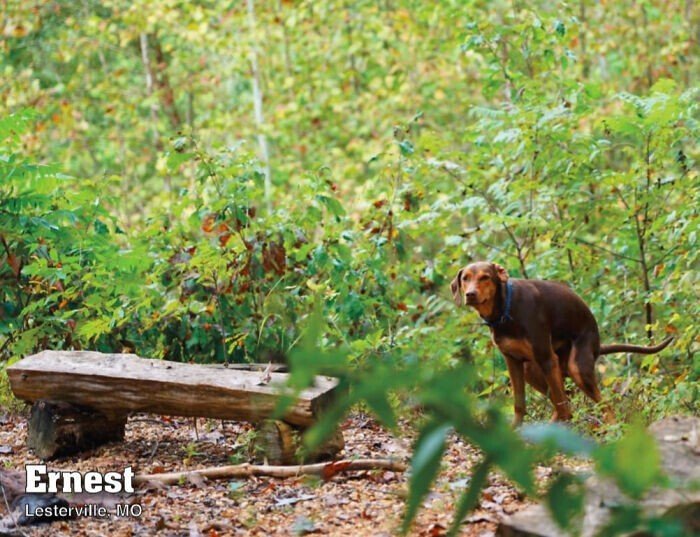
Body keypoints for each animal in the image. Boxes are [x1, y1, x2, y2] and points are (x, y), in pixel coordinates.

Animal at [452, 262, 676, 426]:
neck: (505, 311)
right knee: (566, 400)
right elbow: (520, 406)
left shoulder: (546, 357)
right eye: (465, 279)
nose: (470, 294)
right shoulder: (513, 361)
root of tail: (597, 342)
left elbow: (562, 406)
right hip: (534, 369)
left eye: (485, 277)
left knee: (598, 404)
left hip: (576, 366)